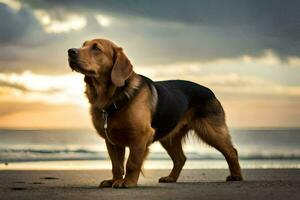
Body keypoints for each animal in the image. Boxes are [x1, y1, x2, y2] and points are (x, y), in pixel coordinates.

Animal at [68, 38, 244, 188]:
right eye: (83, 45)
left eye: (96, 48)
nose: (70, 51)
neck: (113, 98)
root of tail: (210, 91)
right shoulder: (112, 141)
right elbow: (116, 165)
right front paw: (115, 180)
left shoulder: (140, 136)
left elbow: (132, 163)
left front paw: (128, 182)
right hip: (169, 137)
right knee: (180, 159)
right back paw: (171, 178)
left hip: (211, 131)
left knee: (231, 152)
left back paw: (236, 176)